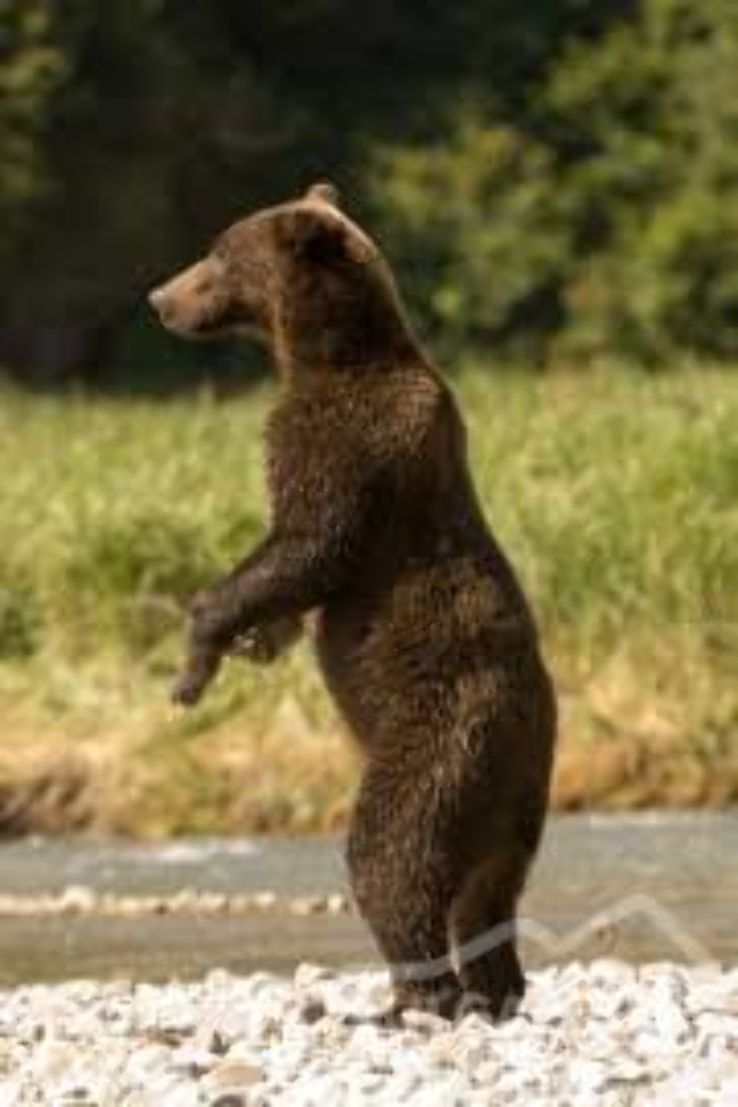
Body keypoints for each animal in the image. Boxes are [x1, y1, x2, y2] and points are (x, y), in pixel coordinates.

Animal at [149, 182, 557, 1022]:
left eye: (215, 252)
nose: (158, 298)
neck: (325, 355)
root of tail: (527, 732)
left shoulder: (343, 445)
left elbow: (308, 543)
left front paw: (195, 664)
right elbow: (292, 569)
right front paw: (259, 640)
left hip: (441, 737)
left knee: (392, 854)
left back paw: (414, 995)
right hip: (516, 797)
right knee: (487, 893)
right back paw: (495, 987)